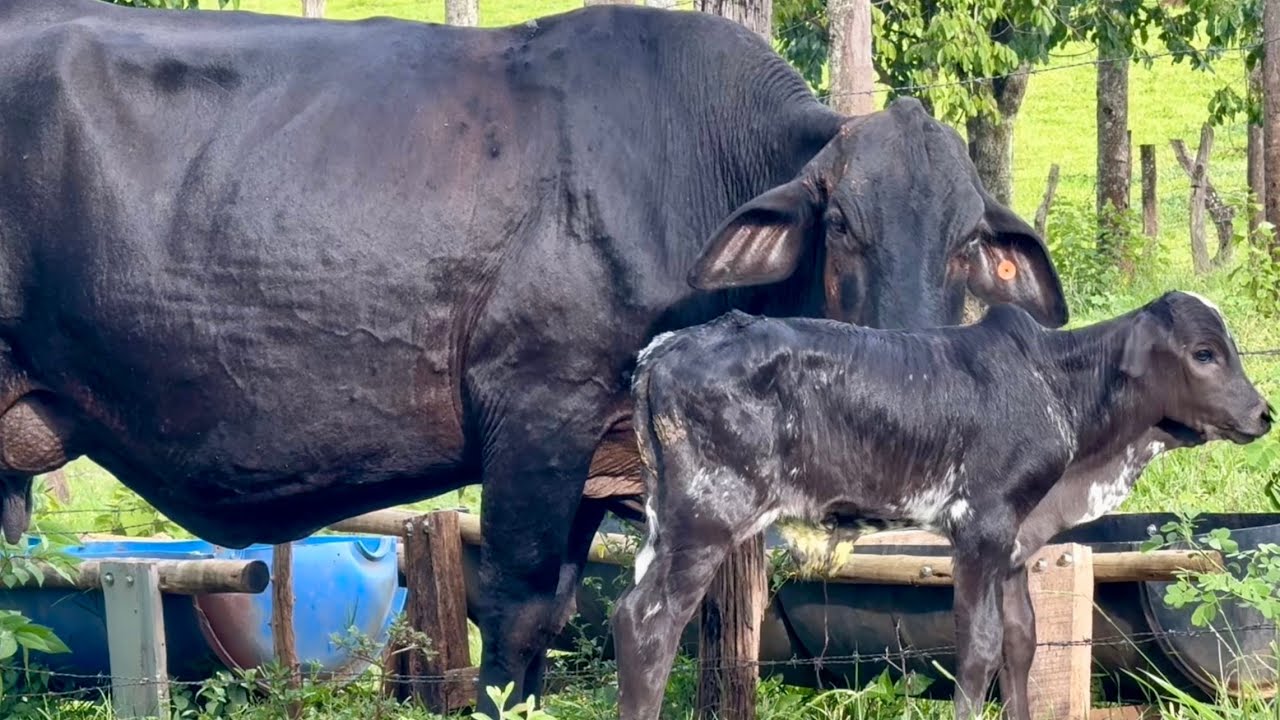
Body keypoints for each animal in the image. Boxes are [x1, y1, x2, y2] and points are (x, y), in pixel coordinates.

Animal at [0, 0, 1067, 711]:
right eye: (840, 223)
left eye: (971, 239)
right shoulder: (535, 417)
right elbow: (511, 616)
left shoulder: (596, 469)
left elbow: (557, 615)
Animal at [615, 291, 1272, 720]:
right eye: (1204, 353)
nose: (1264, 414)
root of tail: (665, 348)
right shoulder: (979, 528)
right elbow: (977, 647)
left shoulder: (1016, 544)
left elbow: (1021, 643)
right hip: (707, 517)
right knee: (650, 624)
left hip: (664, 524)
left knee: (629, 615)